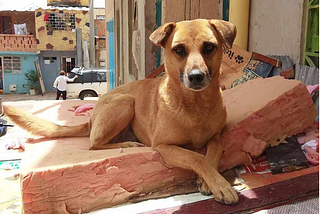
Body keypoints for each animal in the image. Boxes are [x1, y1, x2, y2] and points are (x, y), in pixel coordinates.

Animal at [3, 19, 238, 204]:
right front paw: (220, 185)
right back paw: (128, 144)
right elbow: (196, 157)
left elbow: (213, 153)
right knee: (94, 144)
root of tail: (92, 116)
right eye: (179, 50)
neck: (196, 105)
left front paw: (210, 181)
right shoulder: (164, 146)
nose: (196, 76)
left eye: (209, 47)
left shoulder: (216, 137)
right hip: (125, 102)